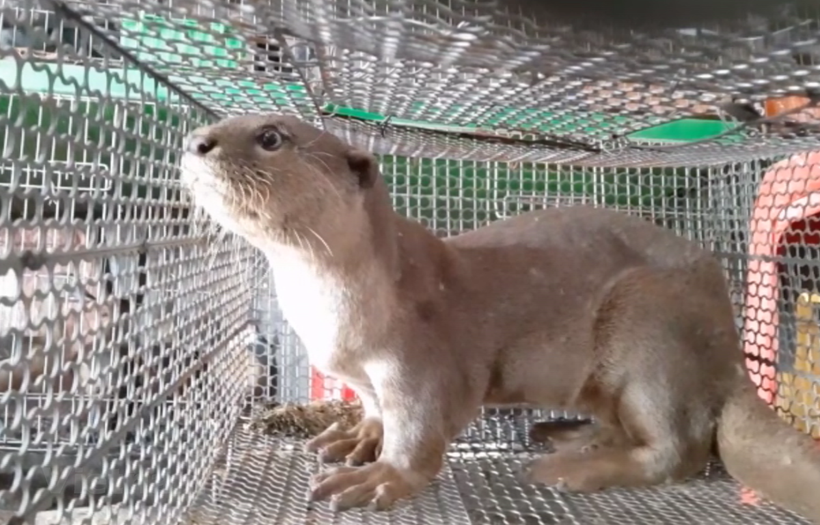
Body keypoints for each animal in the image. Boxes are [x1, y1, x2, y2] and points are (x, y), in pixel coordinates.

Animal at [179, 113, 820, 522]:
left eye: (270, 136)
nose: (194, 141)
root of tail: (731, 347)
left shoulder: (422, 361)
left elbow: (418, 429)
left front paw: (383, 477)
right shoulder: (360, 375)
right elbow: (374, 409)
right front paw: (357, 435)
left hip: (652, 326)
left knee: (679, 447)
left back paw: (573, 469)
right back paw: (569, 436)